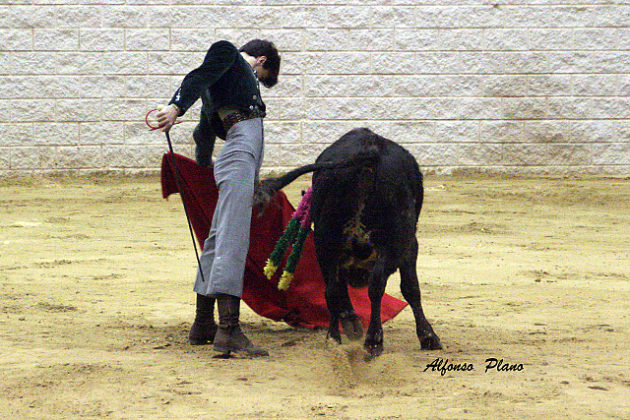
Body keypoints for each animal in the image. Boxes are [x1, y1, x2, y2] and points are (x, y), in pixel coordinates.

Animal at [256, 127, 444, 354]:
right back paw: (373, 339)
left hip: (325, 237)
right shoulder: (408, 245)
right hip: (394, 240)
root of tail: (369, 150)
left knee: (332, 289)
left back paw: (334, 337)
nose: (357, 278)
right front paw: (428, 337)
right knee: (376, 285)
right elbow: (410, 288)